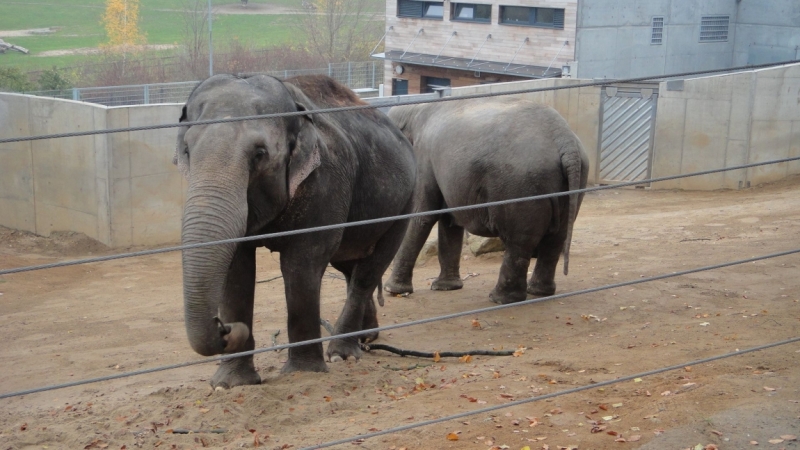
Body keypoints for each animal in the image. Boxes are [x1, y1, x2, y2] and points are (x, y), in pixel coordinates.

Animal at [173, 74, 416, 390]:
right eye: (187, 151)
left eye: (259, 154)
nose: (225, 328)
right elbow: (237, 270)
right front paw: (230, 384)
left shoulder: (326, 181)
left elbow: (301, 263)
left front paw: (303, 373)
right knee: (350, 266)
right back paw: (367, 338)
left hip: (405, 203)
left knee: (368, 271)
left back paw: (342, 354)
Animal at [384, 96, 592, 304]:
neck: (414, 109)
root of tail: (564, 139)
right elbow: (448, 221)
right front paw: (446, 288)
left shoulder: (424, 158)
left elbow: (422, 217)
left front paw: (392, 290)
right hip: (572, 179)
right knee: (556, 237)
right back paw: (539, 292)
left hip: (522, 184)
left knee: (520, 240)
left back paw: (500, 299)